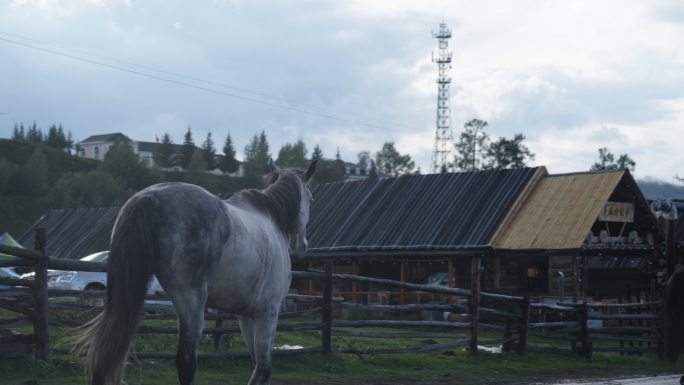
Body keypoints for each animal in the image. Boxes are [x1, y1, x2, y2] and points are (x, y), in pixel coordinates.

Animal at [73, 160, 320, 384]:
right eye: (310, 199)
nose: (303, 247)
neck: (271, 219)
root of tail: (149, 197)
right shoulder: (267, 312)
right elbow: (263, 370)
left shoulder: (246, 316)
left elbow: (256, 364)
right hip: (192, 301)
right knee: (186, 360)